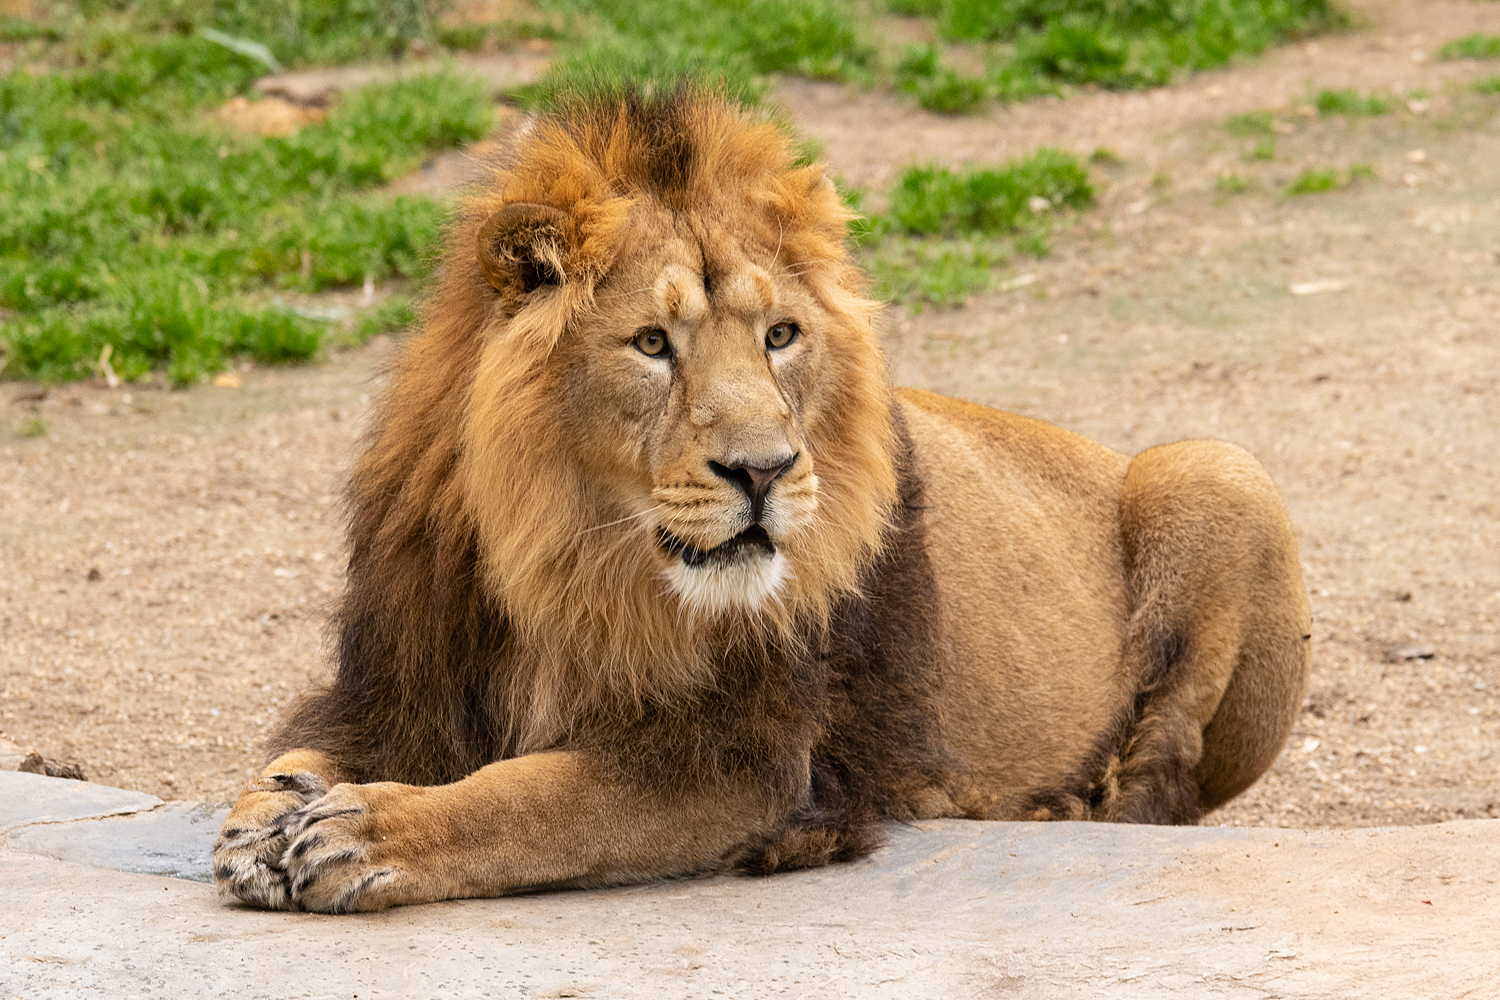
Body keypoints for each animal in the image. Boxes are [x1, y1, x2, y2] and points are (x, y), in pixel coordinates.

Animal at [214, 86, 1314, 917]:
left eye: (780, 335)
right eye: (653, 344)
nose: (765, 470)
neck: (570, 561)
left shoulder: (747, 759)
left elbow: (541, 797)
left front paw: (371, 832)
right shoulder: (404, 685)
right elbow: (293, 757)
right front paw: (265, 816)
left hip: (1215, 467)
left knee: (1162, 780)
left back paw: (1054, 809)